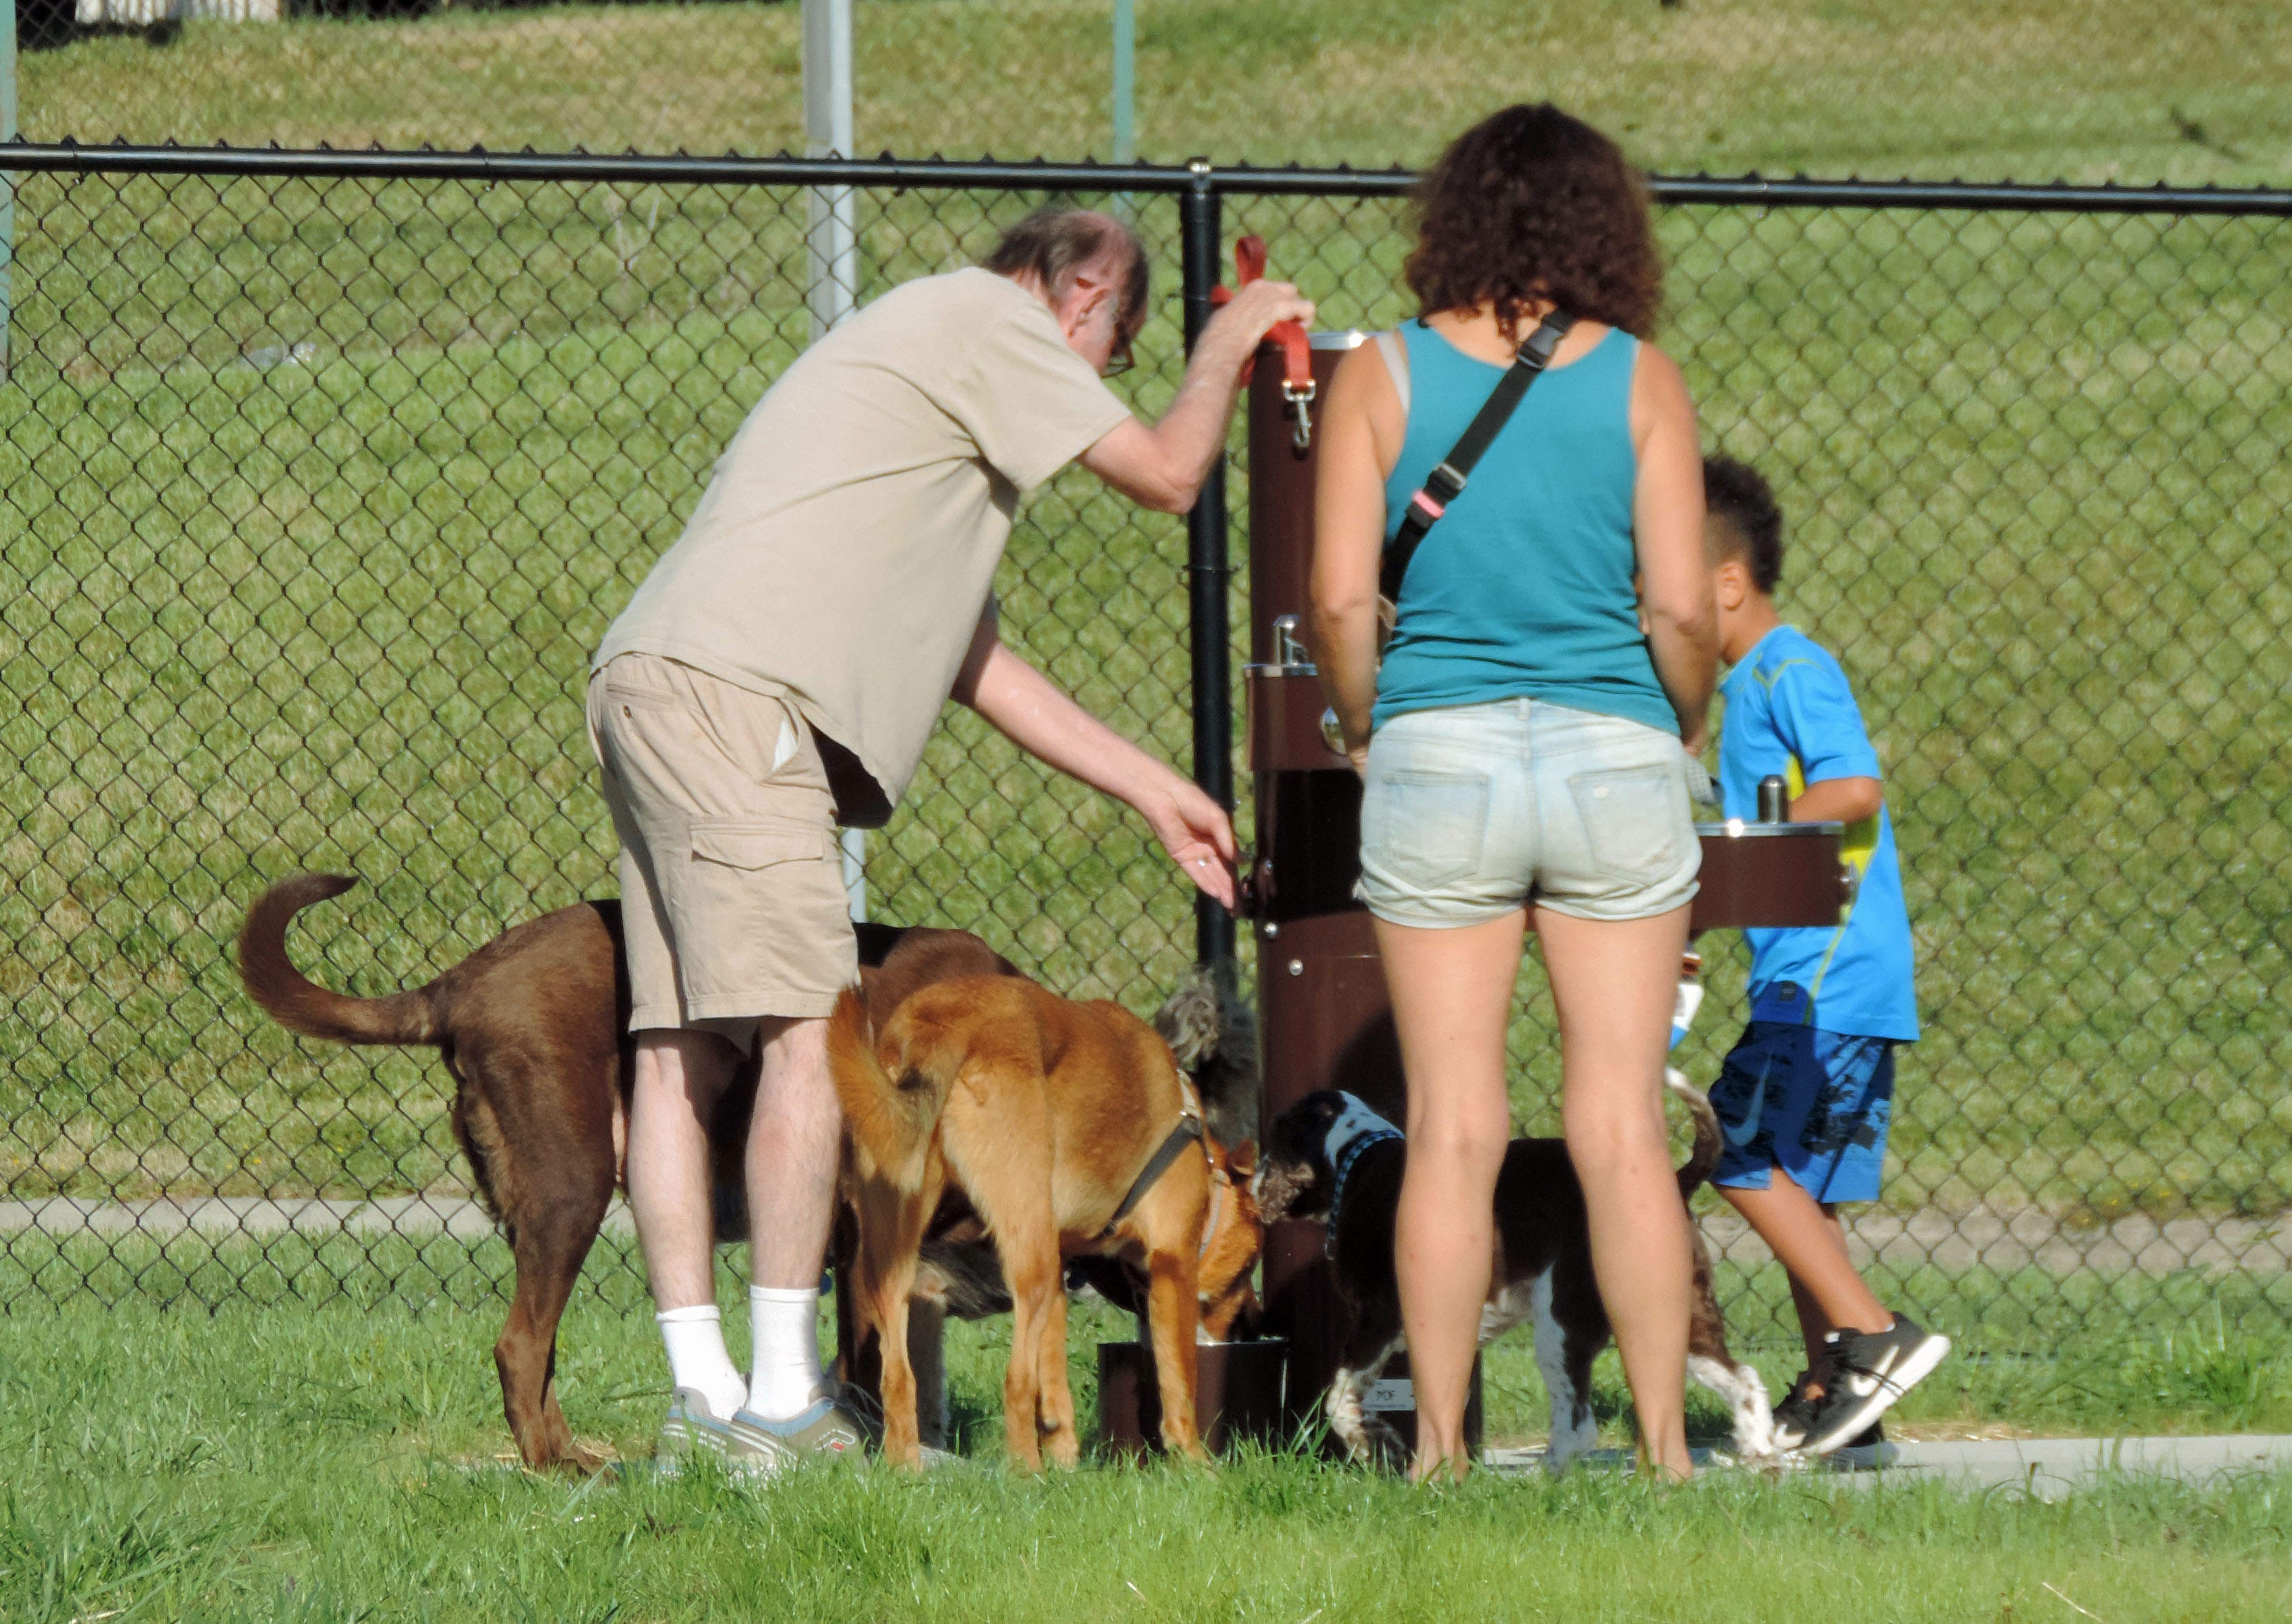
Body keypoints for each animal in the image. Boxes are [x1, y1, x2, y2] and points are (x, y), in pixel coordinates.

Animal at [830, 972, 1265, 1477]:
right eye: (1248, 1267)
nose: (1255, 1324)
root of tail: (943, 1021)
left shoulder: (1060, 1273)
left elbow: (1055, 1391)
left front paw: (1067, 1464)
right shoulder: (1172, 1265)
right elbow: (1179, 1382)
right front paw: (1195, 1464)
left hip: (897, 1252)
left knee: (898, 1377)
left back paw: (909, 1469)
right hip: (1027, 1251)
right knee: (1016, 1380)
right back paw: (1026, 1473)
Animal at [1256, 1078, 1769, 1467]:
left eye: (1273, 1141)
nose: (1252, 1185)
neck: (1355, 1158)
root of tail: (1679, 1180)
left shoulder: (1377, 1318)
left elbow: (1339, 1399)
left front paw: (1374, 1446)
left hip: (1562, 1321)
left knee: (1578, 1426)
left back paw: (1545, 1482)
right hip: (1680, 1314)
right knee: (1743, 1378)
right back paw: (1761, 1458)